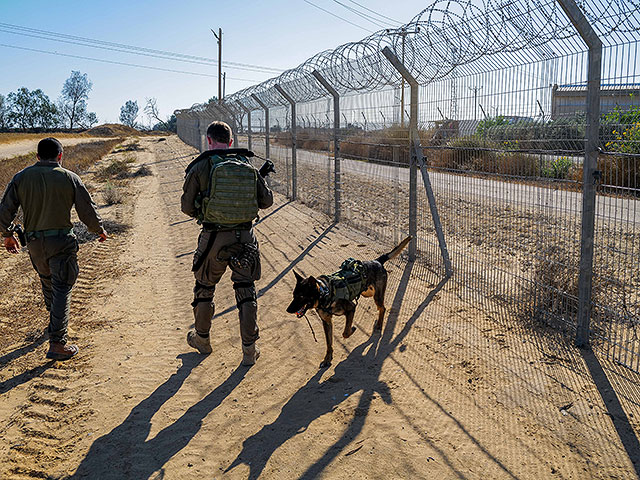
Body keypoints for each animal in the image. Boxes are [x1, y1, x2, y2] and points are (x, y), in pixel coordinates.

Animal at [284, 236, 410, 368]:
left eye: (302, 296)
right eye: (294, 295)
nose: (288, 310)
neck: (326, 292)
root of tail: (377, 261)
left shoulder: (351, 308)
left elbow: (345, 332)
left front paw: (352, 329)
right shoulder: (326, 322)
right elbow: (329, 343)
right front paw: (327, 359)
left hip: (377, 296)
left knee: (383, 308)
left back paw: (379, 324)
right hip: (367, 293)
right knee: (380, 306)